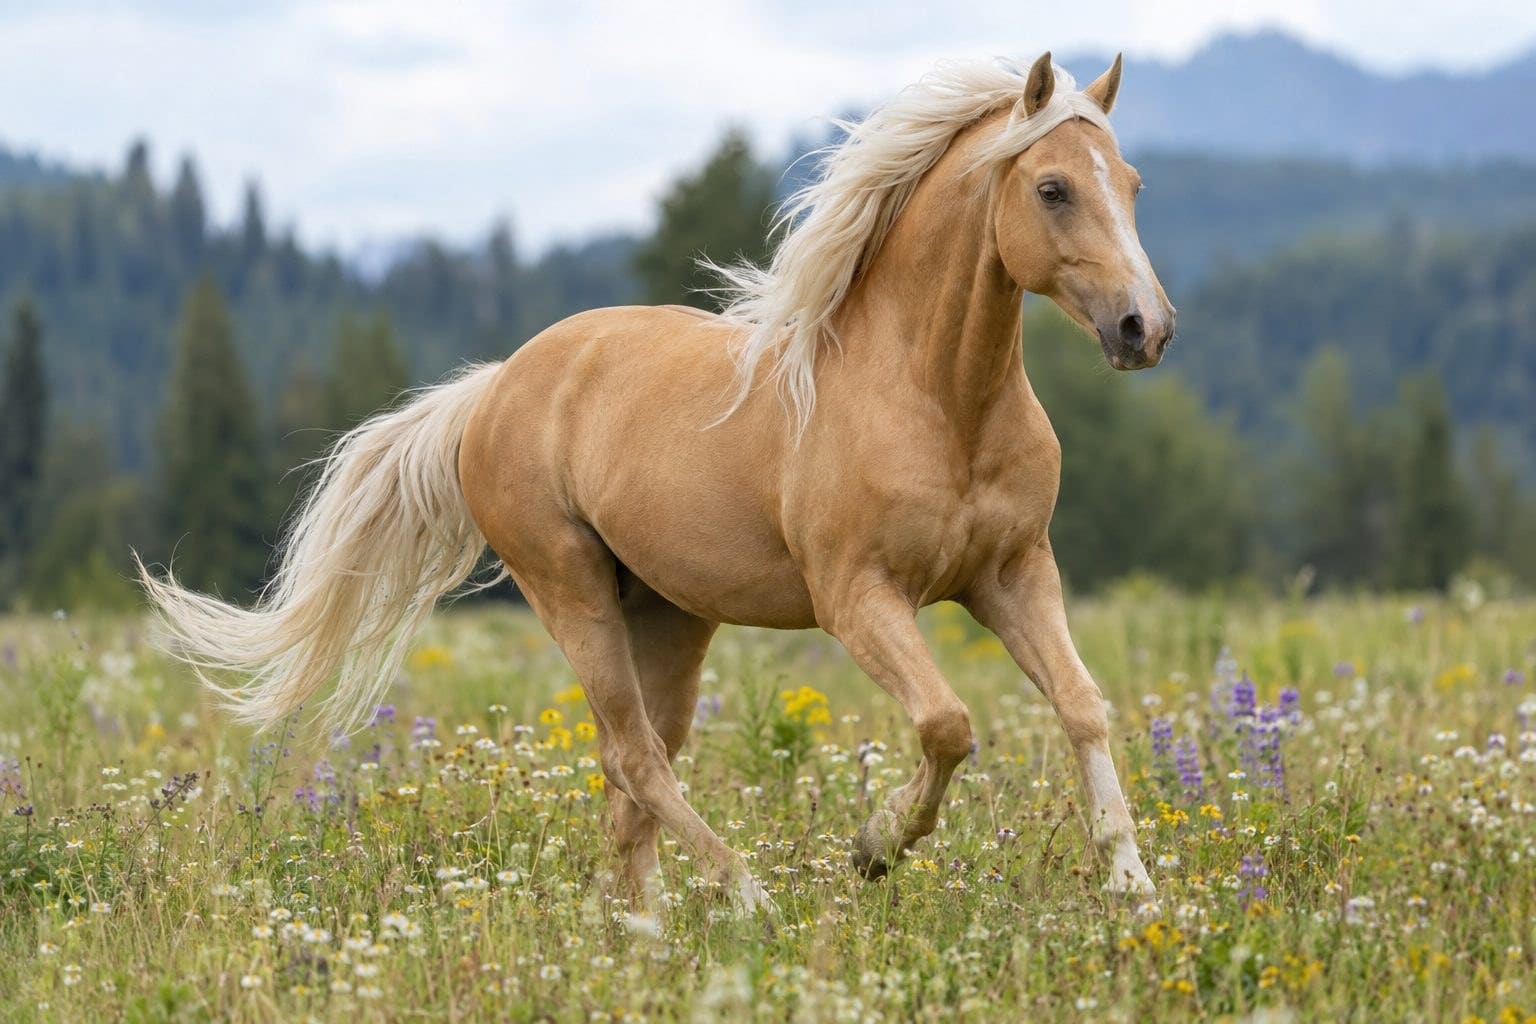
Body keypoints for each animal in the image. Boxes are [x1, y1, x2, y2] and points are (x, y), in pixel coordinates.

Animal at [139, 51, 1172, 908]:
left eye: (1130, 185)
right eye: (1052, 188)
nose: (1144, 329)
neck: (936, 401)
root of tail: (494, 388)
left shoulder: (1013, 576)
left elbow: (1083, 707)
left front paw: (1134, 889)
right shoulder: (859, 599)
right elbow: (948, 725)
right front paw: (873, 849)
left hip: (668, 616)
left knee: (633, 770)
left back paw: (645, 933)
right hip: (572, 594)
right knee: (638, 759)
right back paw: (742, 898)